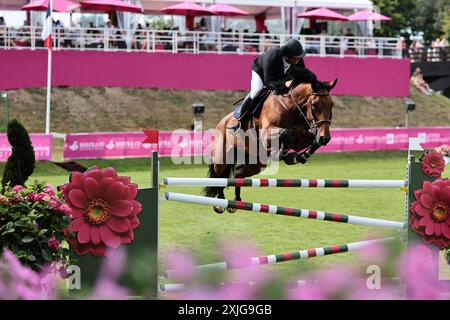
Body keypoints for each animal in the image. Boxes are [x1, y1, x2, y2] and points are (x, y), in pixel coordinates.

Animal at [206, 75, 336, 214]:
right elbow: (286, 133)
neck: (291, 108)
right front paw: (283, 153)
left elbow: (310, 141)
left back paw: (235, 201)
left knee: (238, 174)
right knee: (219, 177)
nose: (325, 137)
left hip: (256, 164)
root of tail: (222, 122)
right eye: (314, 104)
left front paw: (297, 157)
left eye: (331, 104)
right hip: (221, 158)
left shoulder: (300, 138)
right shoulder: (266, 134)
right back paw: (220, 203)